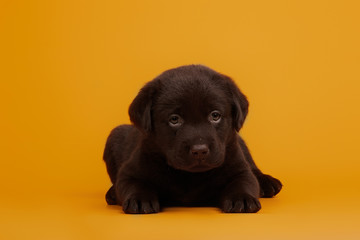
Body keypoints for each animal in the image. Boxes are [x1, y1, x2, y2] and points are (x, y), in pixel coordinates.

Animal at [102, 64, 282, 214]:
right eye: (174, 119)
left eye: (215, 115)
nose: (199, 151)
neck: (190, 177)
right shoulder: (130, 171)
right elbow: (133, 184)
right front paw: (140, 199)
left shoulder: (239, 168)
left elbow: (244, 181)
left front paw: (242, 198)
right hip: (114, 135)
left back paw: (267, 182)